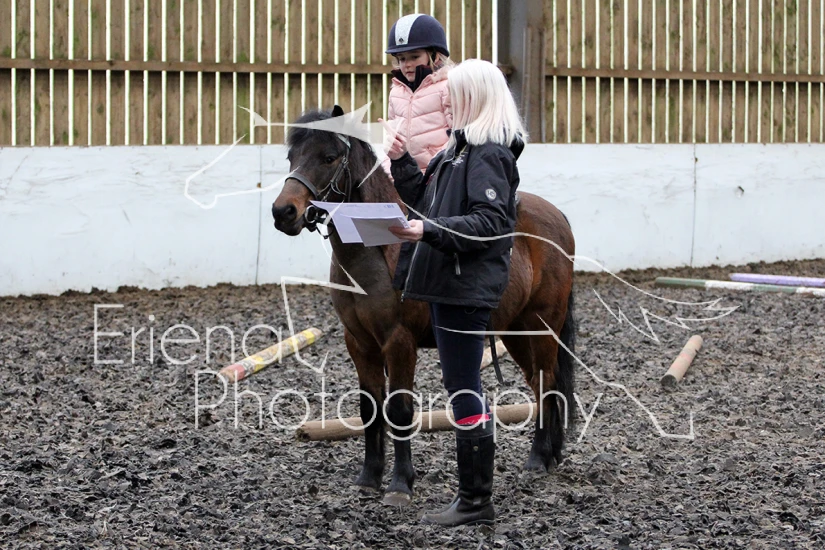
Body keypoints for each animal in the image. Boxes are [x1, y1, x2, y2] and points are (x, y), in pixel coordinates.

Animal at [271, 106, 576, 506]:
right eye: (292, 157)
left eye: (329, 157)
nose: (283, 212)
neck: (377, 251)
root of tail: (558, 218)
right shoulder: (359, 343)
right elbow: (370, 409)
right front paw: (369, 477)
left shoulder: (399, 342)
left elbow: (399, 410)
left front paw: (400, 484)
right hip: (515, 331)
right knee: (544, 383)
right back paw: (550, 455)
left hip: (541, 327)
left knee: (545, 383)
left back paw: (538, 459)